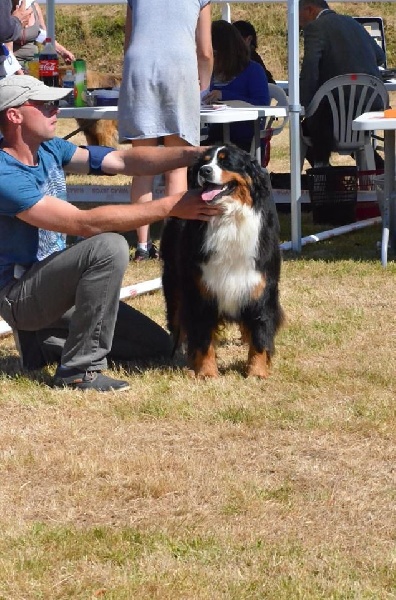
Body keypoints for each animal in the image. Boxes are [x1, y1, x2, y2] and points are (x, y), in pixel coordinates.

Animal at [159, 145, 284, 378]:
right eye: (205, 162)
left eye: (226, 162)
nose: (205, 171)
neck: (228, 218)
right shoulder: (201, 289)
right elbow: (203, 337)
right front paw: (207, 373)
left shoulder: (260, 287)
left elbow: (260, 334)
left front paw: (257, 372)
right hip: (174, 283)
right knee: (178, 321)